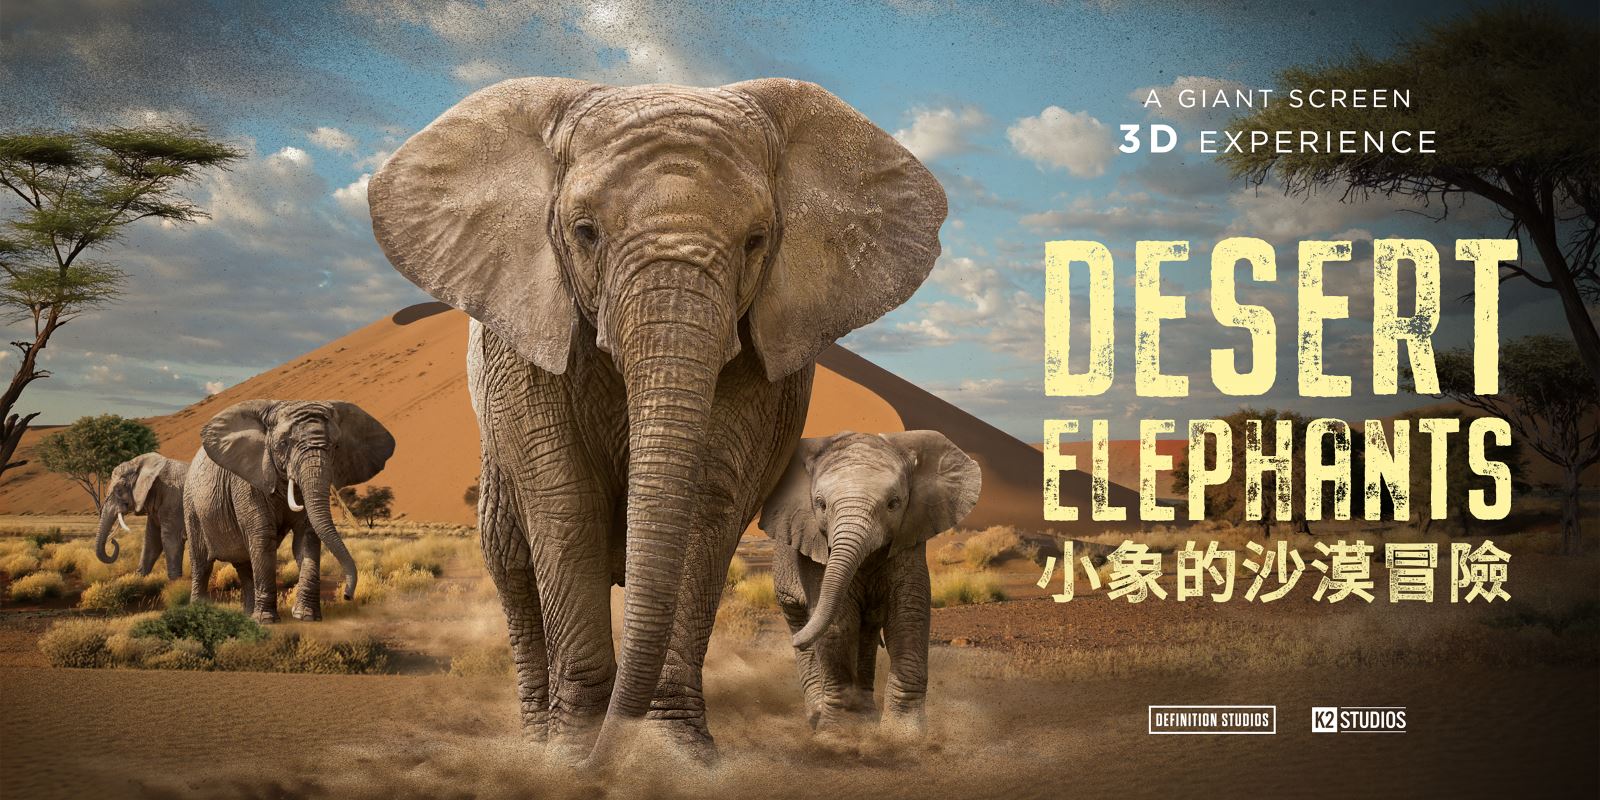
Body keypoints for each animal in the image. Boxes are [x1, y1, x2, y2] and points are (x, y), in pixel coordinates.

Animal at [183, 400, 395, 623]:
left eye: (336, 446)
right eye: (283, 444)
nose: (347, 595)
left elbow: (307, 537)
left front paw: (306, 617)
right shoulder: (248, 481)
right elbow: (262, 537)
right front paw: (267, 621)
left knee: (244, 564)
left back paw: (248, 615)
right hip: (191, 506)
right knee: (201, 563)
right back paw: (200, 610)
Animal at [368, 76, 946, 760]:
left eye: (756, 240)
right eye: (584, 231)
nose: (606, 750)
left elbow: (707, 500)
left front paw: (674, 754)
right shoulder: (522, 337)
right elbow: (565, 502)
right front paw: (574, 754)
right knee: (510, 565)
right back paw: (538, 736)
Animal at [760, 431, 981, 734]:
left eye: (893, 503)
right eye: (821, 504)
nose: (795, 643)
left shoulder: (909, 538)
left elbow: (908, 614)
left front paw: (903, 735)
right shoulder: (815, 551)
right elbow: (838, 621)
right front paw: (837, 735)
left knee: (864, 632)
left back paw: (864, 717)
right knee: (803, 621)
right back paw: (820, 717)